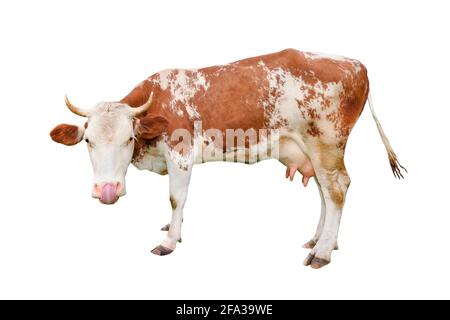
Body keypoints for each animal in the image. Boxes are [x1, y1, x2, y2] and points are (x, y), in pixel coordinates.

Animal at [49, 48, 404, 268]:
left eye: (129, 139)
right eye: (88, 141)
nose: (106, 190)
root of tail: (354, 62)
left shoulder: (180, 155)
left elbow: (176, 198)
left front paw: (170, 240)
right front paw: (173, 228)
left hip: (327, 143)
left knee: (337, 189)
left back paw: (323, 252)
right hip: (311, 151)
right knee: (324, 193)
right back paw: (318, 240)